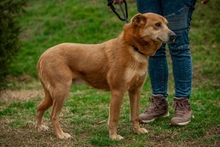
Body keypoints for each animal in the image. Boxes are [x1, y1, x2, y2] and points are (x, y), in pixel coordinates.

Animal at [35, 12, 176, 139]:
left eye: (167, 24)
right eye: (157, 24)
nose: (174, 35)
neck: (133, 47)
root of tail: (43, 55)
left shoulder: (135, 90)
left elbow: (134, 115)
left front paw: (138, 131)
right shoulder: (118, 91)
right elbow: (114, 118)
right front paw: (113, 136)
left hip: (52, 95)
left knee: (39, 108)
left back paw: (40, 127)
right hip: (62, 91)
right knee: (53, 115)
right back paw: (61, 135)